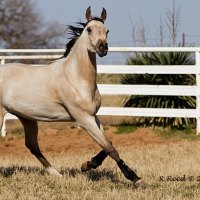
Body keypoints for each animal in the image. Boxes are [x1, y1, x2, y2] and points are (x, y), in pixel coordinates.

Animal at [0, 6, 144, 188]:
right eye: (89, 29)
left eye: (107, 30)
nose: (103, 48)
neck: (75, 77)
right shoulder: (83, 119)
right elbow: (109, 147)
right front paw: (134, 177)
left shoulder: (93, 117)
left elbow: (107, 143)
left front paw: (87, 165)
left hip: (27, 118)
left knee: (33, 146)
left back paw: (57, 175)